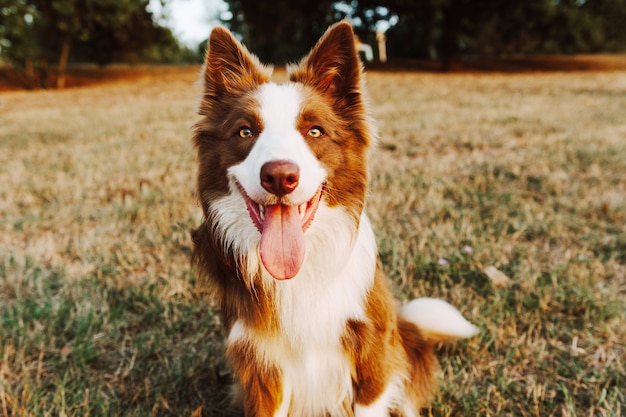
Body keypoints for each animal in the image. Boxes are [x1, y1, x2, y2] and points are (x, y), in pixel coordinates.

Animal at [190, 22, 478, 416]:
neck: (300, 273)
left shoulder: (372, 354)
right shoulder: (260, 366)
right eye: (245, 131)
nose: (279, 176)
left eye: (315, 131)